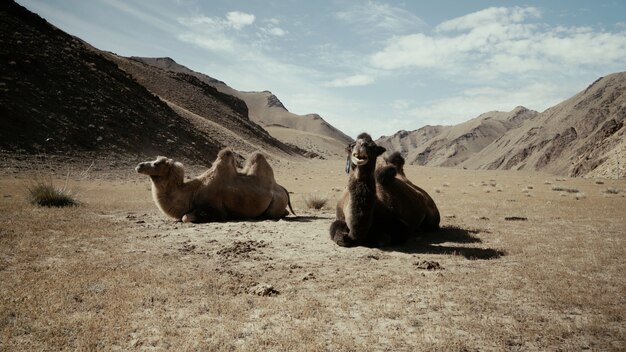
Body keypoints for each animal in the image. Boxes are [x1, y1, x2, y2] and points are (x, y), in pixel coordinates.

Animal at [135, 148, 294, 223]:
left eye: (156, 164)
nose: (139, 165)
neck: (191, 193)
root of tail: (282, 188)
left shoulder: (217, 210)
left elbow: (186, 217)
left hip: (276, 203)